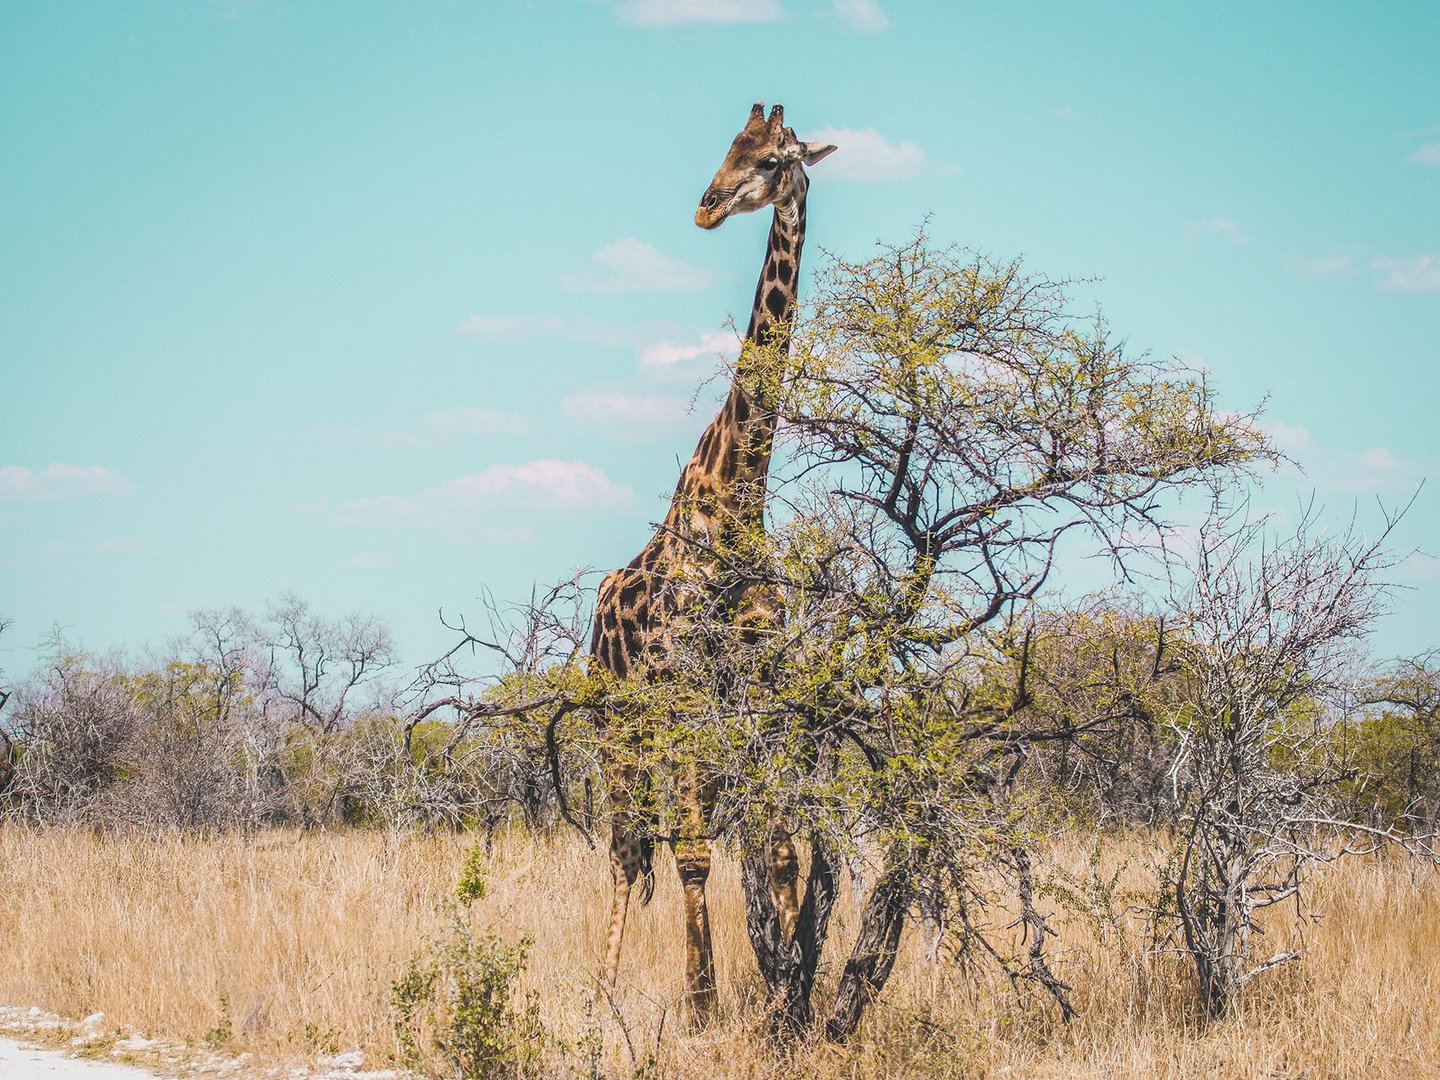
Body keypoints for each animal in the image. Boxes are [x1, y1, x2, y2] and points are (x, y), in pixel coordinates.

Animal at [589, 101, 834, 1023]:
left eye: (770, 159)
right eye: (728, 147)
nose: (704, 206)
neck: (740, 495)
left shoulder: (758, 687)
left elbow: (780, 849)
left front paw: (791, 988)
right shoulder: (690, 688)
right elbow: (695, 852)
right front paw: (701, 1004)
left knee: (646, 848)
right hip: (620, 720)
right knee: (627, 850)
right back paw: (604, 993)